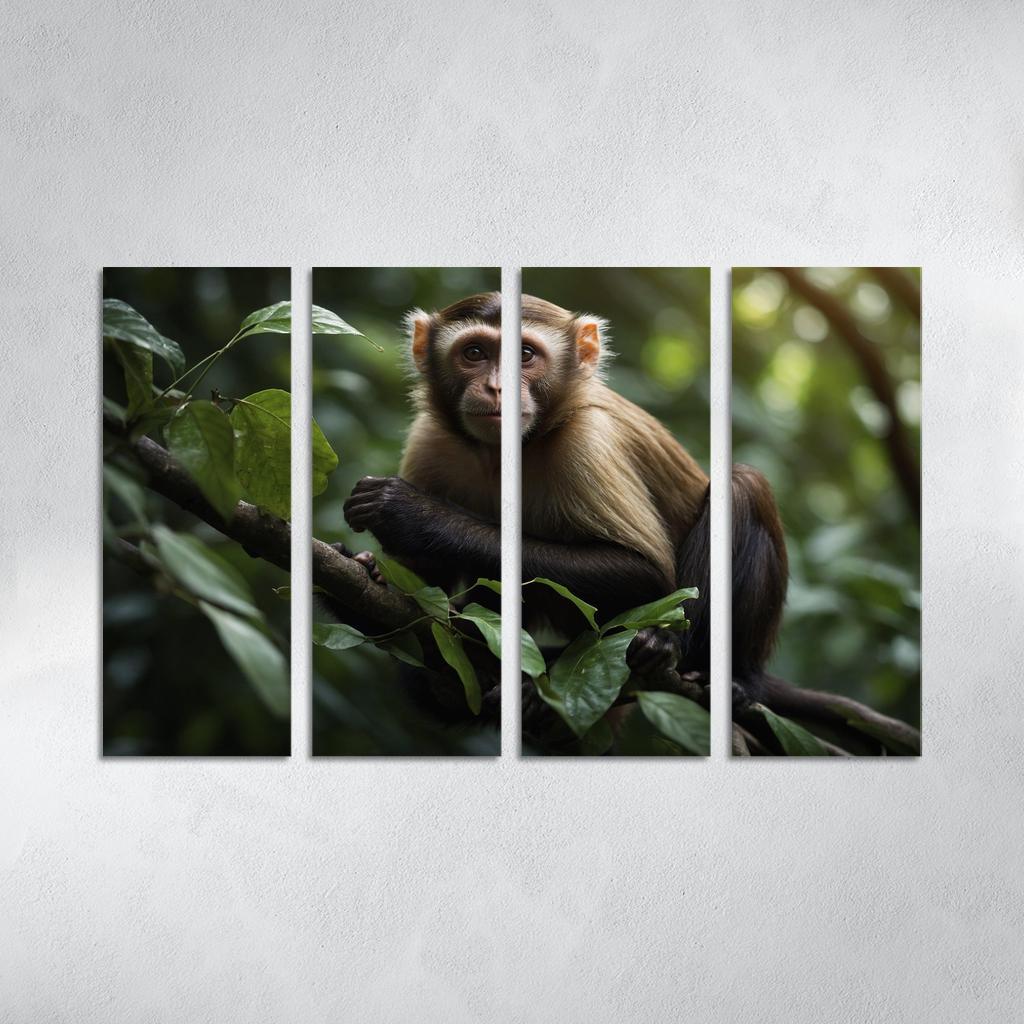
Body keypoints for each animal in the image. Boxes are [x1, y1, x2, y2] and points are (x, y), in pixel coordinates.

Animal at [342, 291, 789, 709]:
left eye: (524, 355)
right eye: (474, 353)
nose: (496, 387)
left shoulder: (586, 442)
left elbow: (644, 572)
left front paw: (413, 514)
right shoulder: (431, 441)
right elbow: (421, 585)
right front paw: (370, 568)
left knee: (744, 487)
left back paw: (709, 667)